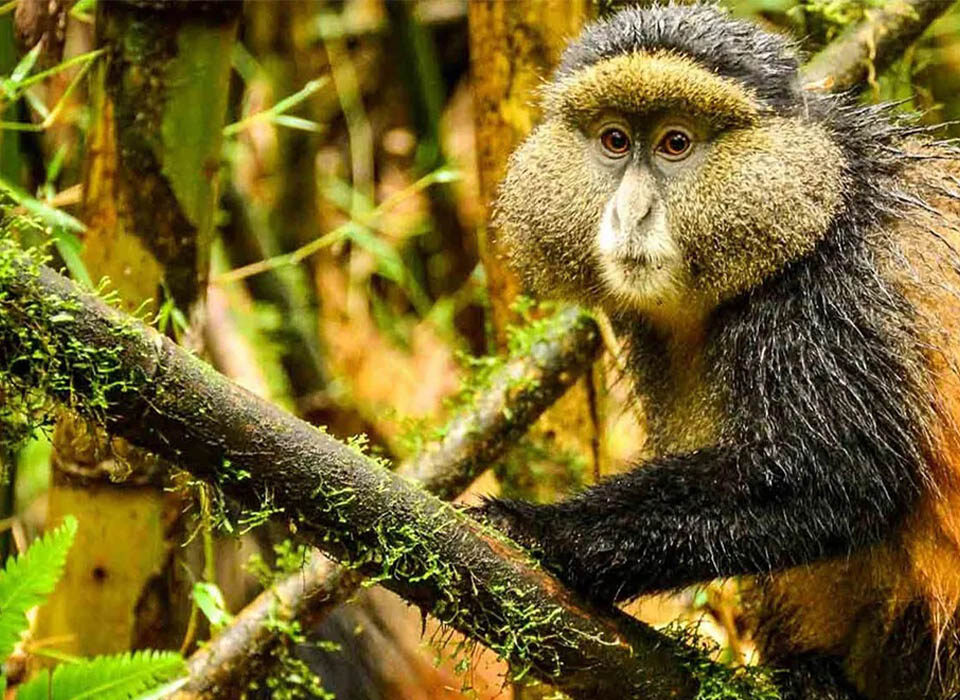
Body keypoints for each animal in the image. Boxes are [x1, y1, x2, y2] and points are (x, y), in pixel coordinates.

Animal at [473, 4, 960, 699]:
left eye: (676, 143)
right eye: (615, 141)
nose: (631, 213)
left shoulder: (832, 293)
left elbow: (842, 474)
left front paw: (538, 531)